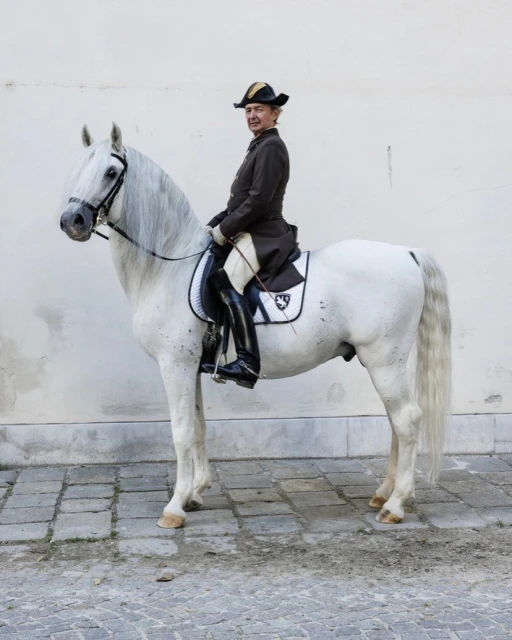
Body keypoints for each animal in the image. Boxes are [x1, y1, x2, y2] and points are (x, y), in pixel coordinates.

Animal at [60, 123, 451, 528]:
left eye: (110, 172)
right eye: (79, 168)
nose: (72, 222)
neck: (170, 266)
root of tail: (406, 253)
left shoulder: (175, 364)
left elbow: (181, 431)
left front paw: (175, 506)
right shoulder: (191, 366)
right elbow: (198, 426)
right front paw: (196, 492)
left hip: (384, 360)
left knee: (406, 419)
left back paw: (396, 504)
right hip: (384, 362)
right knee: (395, 421)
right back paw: (383, 494)